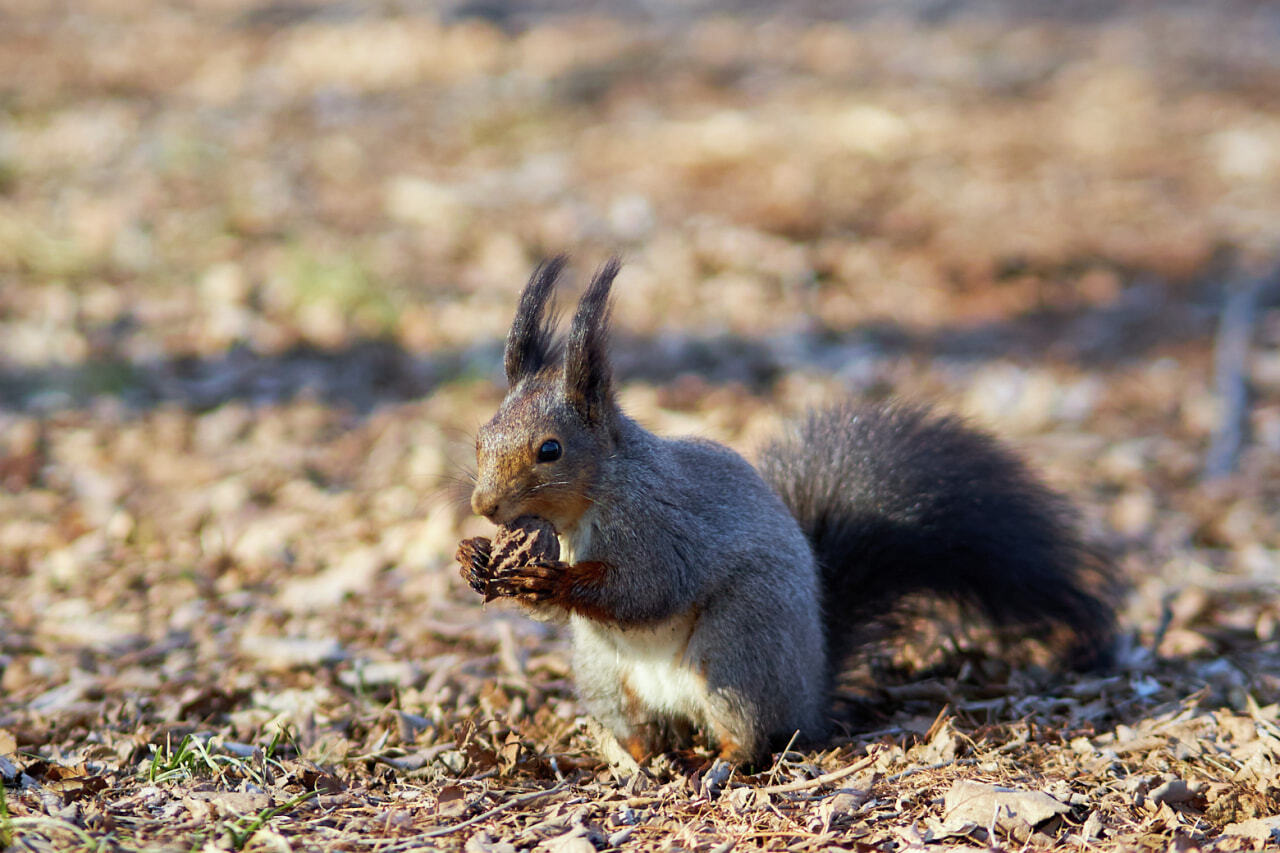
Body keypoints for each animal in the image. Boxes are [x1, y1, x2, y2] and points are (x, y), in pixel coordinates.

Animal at [455, 256, 1116, 768]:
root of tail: (811, 693)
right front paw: (474, 559)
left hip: (740, 649)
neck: (592, 502)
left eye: (550, 450)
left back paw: (719, 764)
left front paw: (554, 578)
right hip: (605, 675)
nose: (484, 507)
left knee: (751, 735)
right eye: (482, 436)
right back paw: (640, 759)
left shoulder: (662, 525)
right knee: (643, 730)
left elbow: (647, 589)